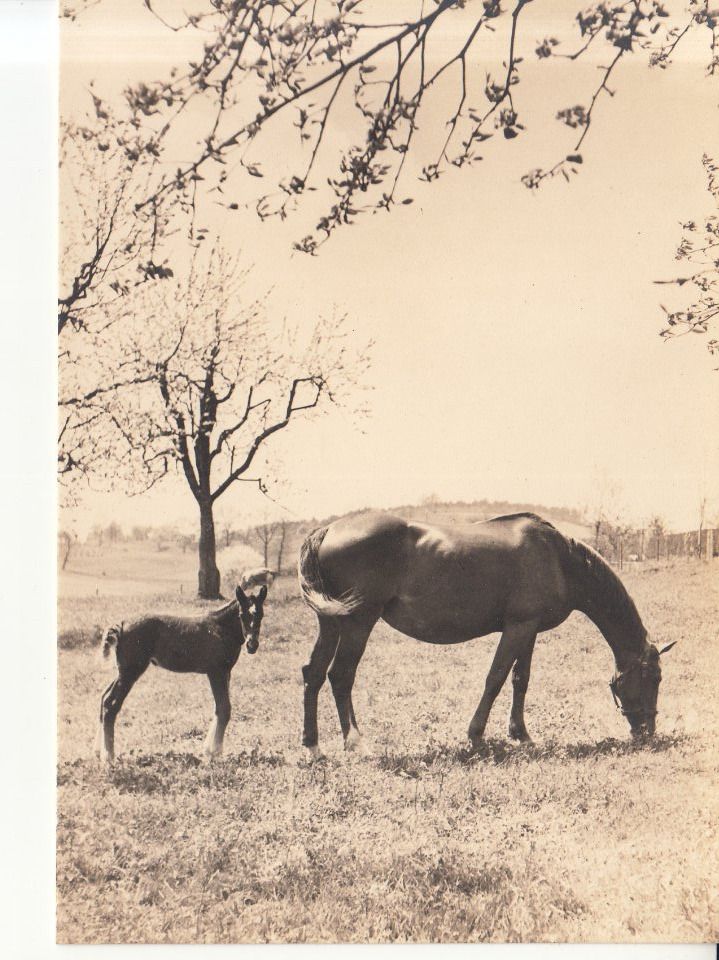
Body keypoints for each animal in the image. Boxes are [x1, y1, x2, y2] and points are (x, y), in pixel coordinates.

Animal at [95, 584, 267, 764]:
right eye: (242, 614)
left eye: (261, 614)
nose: (252, 645)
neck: (220, 628)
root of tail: (121, 625)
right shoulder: (216, 672)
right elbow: (224, 708)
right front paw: (213, 752)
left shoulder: (226, 673)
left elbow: (219, 708)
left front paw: (210, 749)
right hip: (130, 672)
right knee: (111, 703)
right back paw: (108, 756)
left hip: (122, 672)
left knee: (104, 697)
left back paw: (98, 751)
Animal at [297, 511, 676, 758]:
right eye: (653, 678)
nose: (647, 732)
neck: (559, 558)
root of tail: (328, 529)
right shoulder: (517, 627)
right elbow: (495, 678)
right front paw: (476, 736)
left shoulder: (528, 628)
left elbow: (521, 679)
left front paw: (521, 735)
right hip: (359, 621)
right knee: (341, 676)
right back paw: (356, 744)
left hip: (332, 623)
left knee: (313, 673)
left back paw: (314, 747)